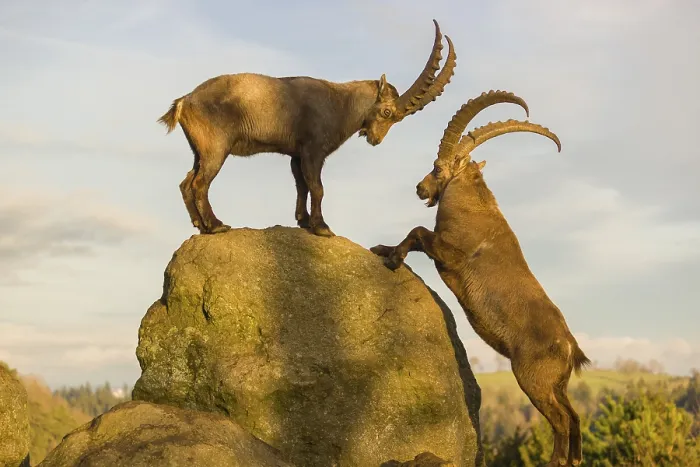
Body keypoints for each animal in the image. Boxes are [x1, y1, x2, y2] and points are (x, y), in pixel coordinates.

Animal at [158, 20, 456, 237]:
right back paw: (216, 225)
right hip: (216, 148)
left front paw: (303, 221)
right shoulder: (313, 151)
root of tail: (185, 101)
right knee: (199, 183)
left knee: (186, 182)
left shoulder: (296, 155)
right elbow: (318, 187)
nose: (376, 139)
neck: (341, 103)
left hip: (200, 150)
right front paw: (322, 227)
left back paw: (201, 226)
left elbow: (302, 185)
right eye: (387, 112)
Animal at [370, 91, 591, 467]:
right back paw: (574, 460)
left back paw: (555, 461)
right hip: (557, 385)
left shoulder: (450, 256)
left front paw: (394, 258)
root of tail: (570, 346)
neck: (472, 209)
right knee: (574, 416)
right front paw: (380, 248)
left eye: (438, 167)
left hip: (533, 379)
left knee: (561, 420)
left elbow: (417, 232)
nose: (420, 188)